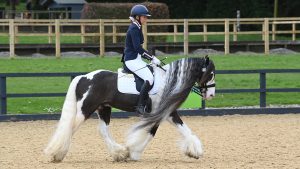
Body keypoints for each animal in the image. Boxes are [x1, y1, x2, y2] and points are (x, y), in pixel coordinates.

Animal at [44, 55, 216, 162]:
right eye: (211, 74)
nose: (212, 95)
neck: (167, 81)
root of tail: (83, 77)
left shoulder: (164, 112)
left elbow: (156, 132)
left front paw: (134, 152)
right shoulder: (163, 112)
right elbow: (157, 131)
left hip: (103, 108)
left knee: (103, 131)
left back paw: (119, 153)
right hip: (85, 109)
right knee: (70, 128)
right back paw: (56, 153)